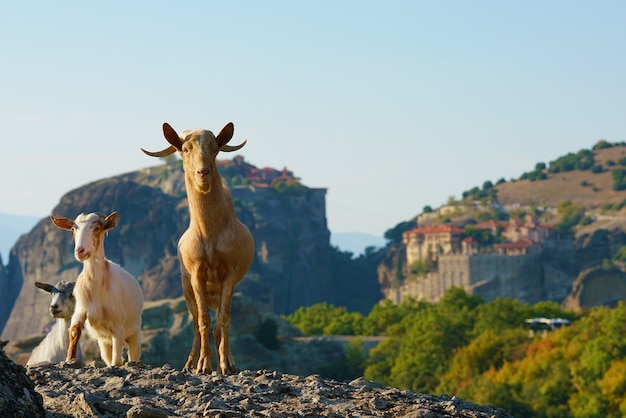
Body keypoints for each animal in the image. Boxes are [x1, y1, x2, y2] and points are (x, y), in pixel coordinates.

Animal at [50, 212, 143, 366]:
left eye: (97, 228)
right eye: (73, 229)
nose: (79, 250)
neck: (97, 290)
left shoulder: (118, 325)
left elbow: (117, 360)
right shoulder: (81, 309)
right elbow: (74, 331)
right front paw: (69, 358)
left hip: (134, 331)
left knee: (133, 353)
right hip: (103, 342)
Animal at [141, 122, 254, 374]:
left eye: (215, 148)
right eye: (185, 149)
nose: (203, 173)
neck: (209, 234)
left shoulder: (230, 275)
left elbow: (223, 320)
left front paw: (225, 363)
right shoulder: (195, 275)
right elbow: (202, 320)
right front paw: (203, 364)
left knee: (220, 322)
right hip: (185, 287)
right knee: (194, 322)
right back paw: (190, 362)